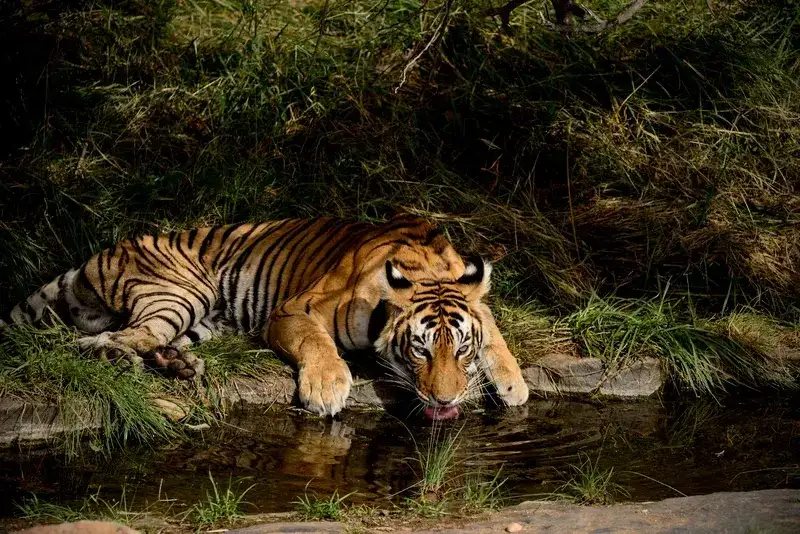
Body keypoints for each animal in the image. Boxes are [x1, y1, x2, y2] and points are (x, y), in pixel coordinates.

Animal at [0, 214, 529, 419]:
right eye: (420, 348)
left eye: (461, 349)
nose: (445, 399)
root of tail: (104, 251)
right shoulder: (293, 309)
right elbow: (318, 344)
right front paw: (326, 388)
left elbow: (494, 329)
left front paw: (513, 385)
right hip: (180, 290)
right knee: (110, 339)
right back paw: (125, 360)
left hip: (198, 321)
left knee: (135, 338)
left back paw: (179, 365)